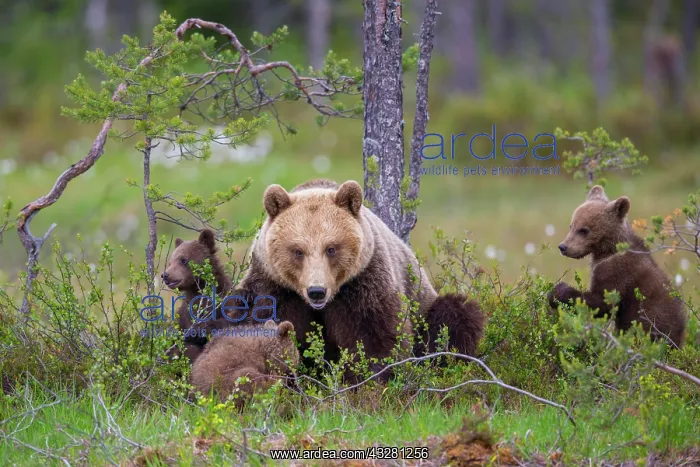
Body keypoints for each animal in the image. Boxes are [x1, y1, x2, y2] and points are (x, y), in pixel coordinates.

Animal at [194, 179, 485, 380]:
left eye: (331, 248)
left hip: (426, 305)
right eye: (297, 250)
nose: (316, 291)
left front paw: (371, 379)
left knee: (456, 316)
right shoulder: (274, 288)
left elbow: (375, 337)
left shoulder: (363, 285)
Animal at [548, 185, 687, 348]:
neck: (607, 250)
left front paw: (558, 291)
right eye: (571, 225)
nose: (563, 247)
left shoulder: (619, 272)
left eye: (583, 229)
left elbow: (603, 302)